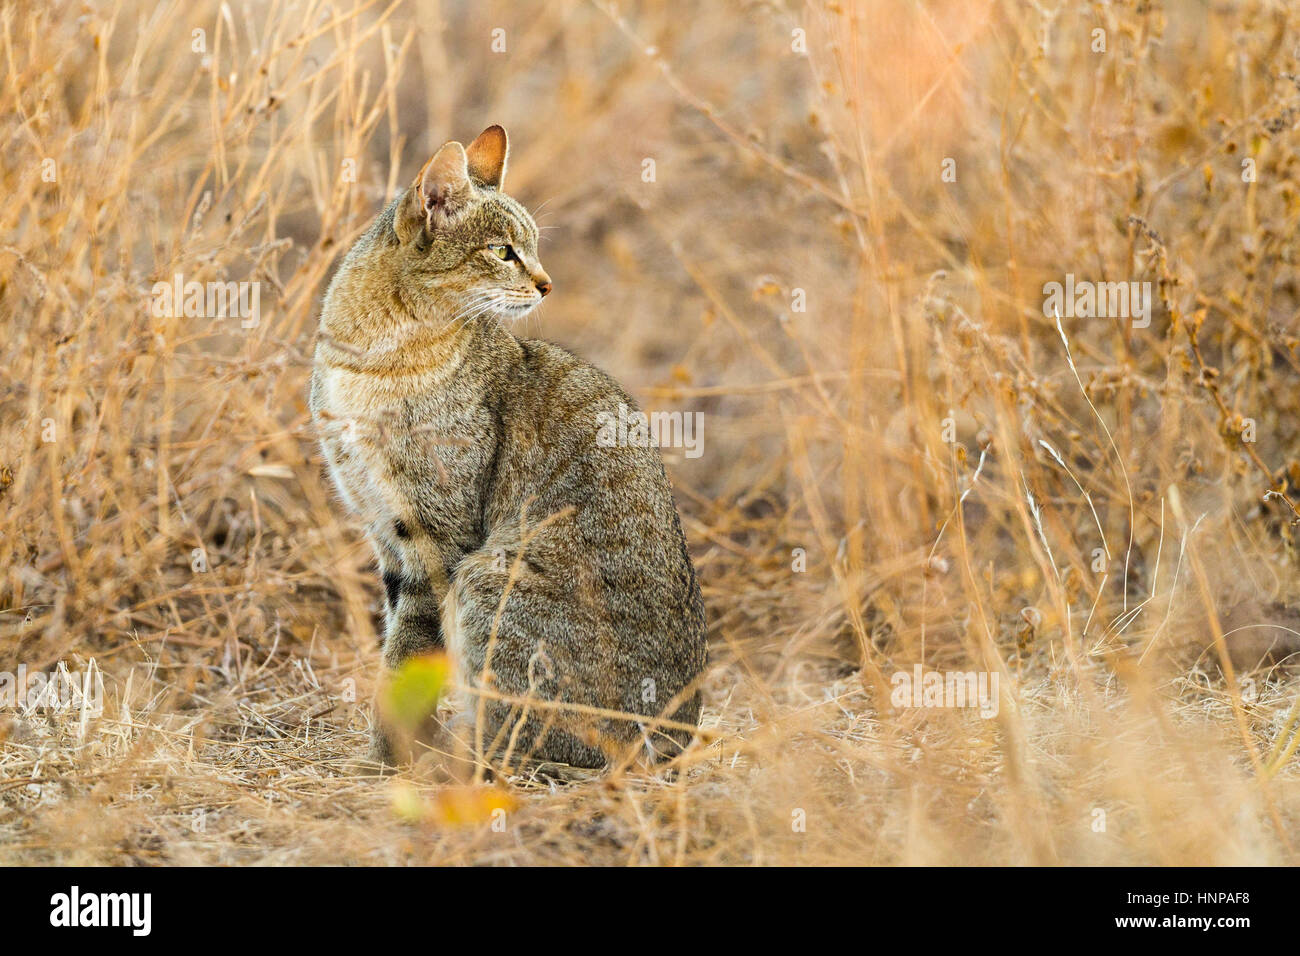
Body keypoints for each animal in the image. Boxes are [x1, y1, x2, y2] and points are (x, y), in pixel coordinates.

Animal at [308, 125, 707, 770]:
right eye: (502, 251)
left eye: (534, 248)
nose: (547, 283)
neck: (368, 355)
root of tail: (676, 740)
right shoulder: (382, 528)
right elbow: (399, 641)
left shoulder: (435, 537)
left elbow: (408, 651)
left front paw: (392, 755)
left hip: (488, 576)